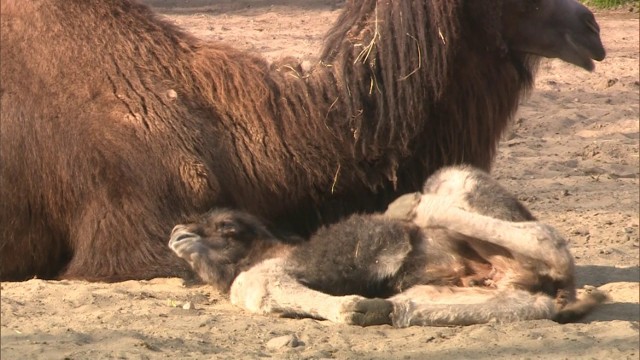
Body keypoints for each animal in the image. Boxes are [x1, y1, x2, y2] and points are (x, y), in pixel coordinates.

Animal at [168, 166, 604, 326]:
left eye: (225, 227)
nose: (177, 234)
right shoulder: (262, 285)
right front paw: (357, 308)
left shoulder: (266, 277)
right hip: (501, 290)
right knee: (532, 303)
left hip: (468, 193)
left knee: (545, 236)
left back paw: (411, 205)